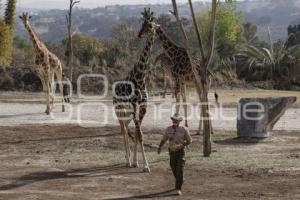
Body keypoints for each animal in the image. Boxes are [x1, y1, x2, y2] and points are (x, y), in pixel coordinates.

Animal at [112, 8, 155, 172]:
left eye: (150, 25)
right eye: (142, 23)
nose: (139, 34)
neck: (141, 77)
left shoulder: (143, 106)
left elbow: (138, 133)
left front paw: (138, 162)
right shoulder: (135, 104)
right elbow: (139, 134)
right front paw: (145, 165)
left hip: (127, 112)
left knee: (127, 128)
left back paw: (130, 159)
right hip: (118, 109)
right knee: (123, 130)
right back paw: (127, 161)